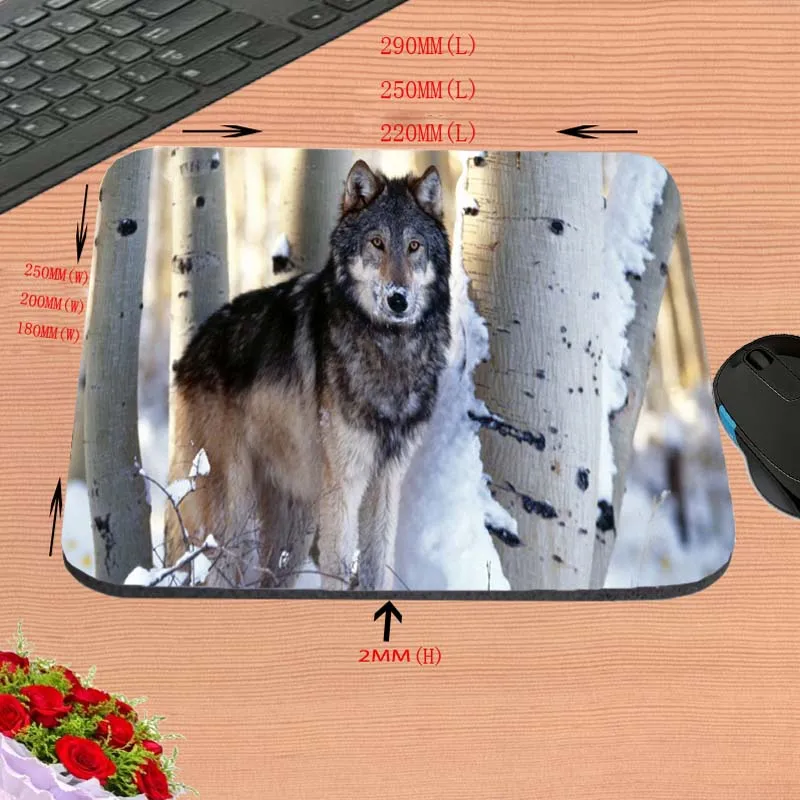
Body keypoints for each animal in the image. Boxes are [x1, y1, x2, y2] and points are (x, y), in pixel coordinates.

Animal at [166, 160, 451, 591]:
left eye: (414, 246)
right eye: (377, 243)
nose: (397, 299)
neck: (390, 349)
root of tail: (188, 354)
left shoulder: (385, 483)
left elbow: (377, 567)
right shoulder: (343, 486)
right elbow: (338, 569)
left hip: (294, 530)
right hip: (230, 516)